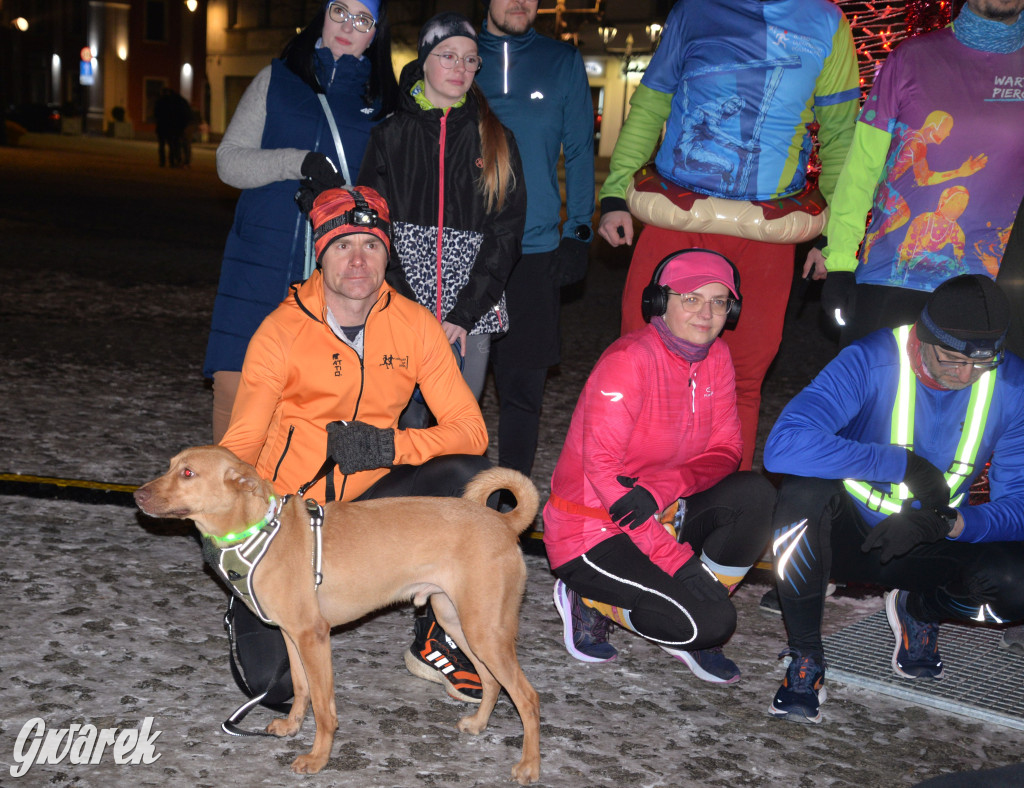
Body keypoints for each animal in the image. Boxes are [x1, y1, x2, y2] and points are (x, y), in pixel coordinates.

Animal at [136, 442, 544, 777]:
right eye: (170, 466)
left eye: (188, 473)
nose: (138, 495)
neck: (260, 534)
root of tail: (502, 521)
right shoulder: (292, 636)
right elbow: (301, 688)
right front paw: (292, 727)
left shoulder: (314, 637)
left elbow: (323, 706)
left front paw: (318, 758)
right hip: (459, 621)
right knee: (492, 681)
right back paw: (478, 724)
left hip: (484, 629)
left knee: (527, 696)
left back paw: (529, 765)